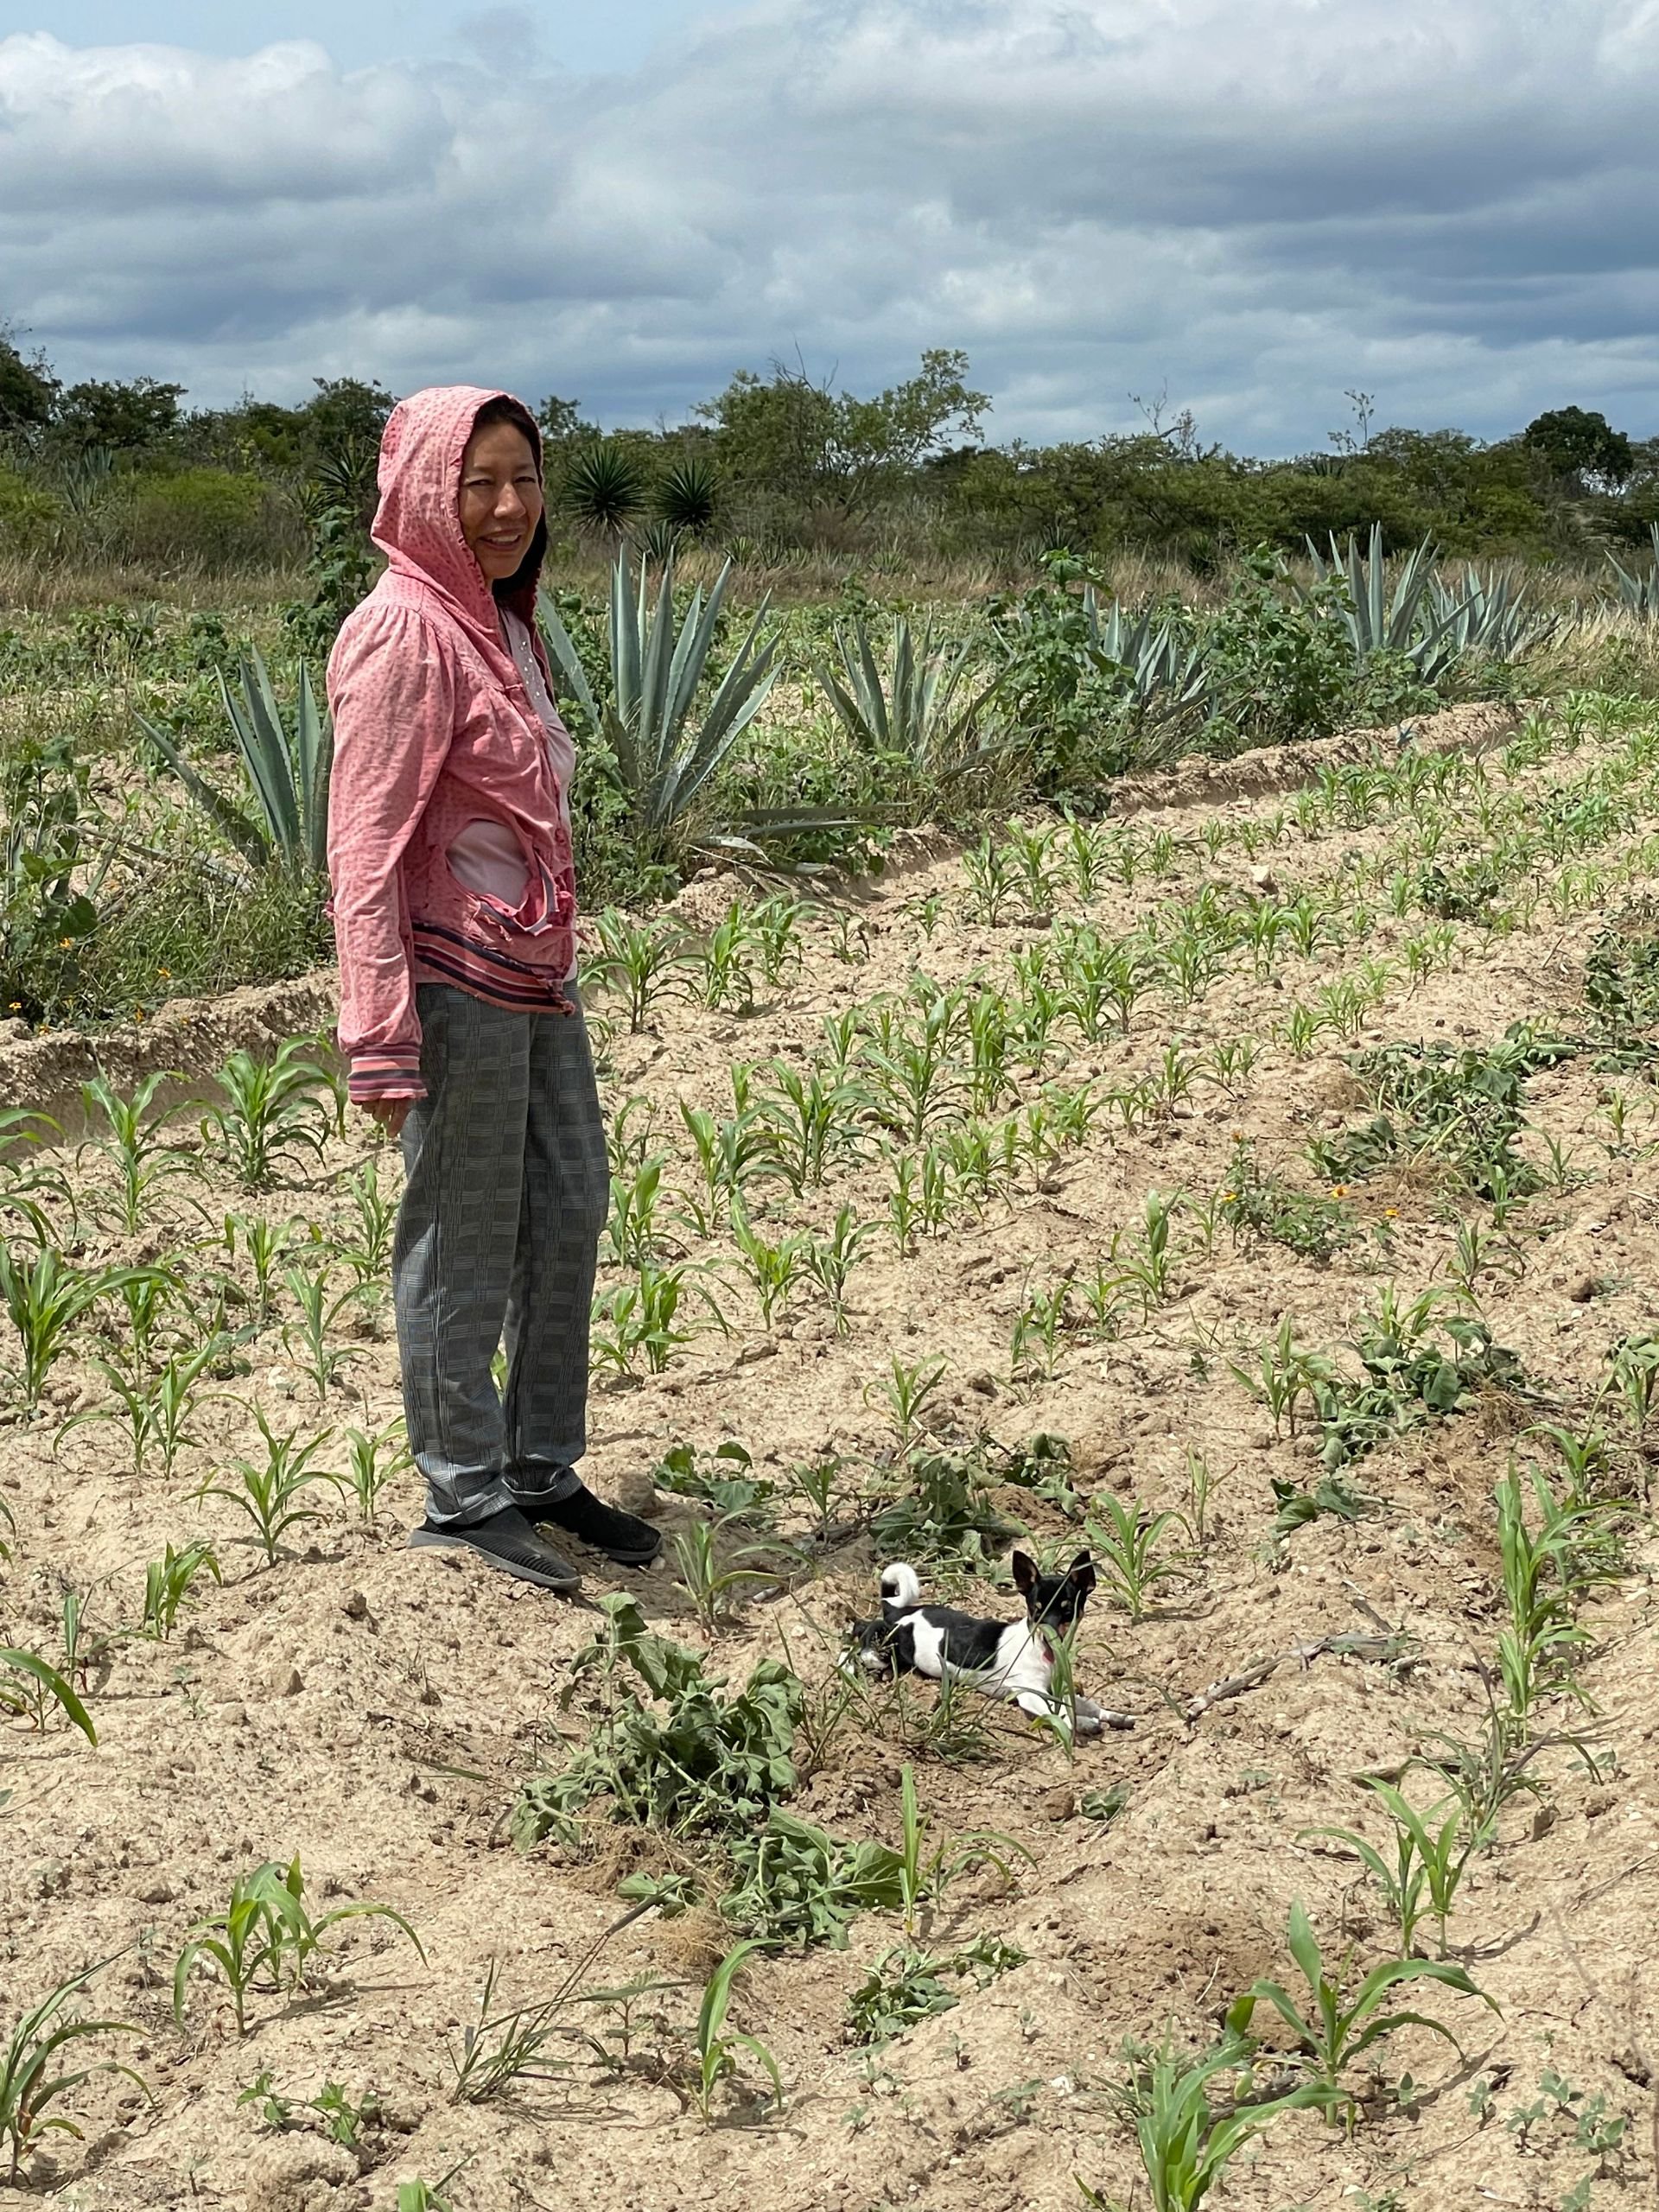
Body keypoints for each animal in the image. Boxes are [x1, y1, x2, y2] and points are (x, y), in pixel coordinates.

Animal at [849, 1548, 1141, 1734]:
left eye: (1067, 1610)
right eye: (1036, 1610)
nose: (1048, 1632)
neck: (1041, 1653)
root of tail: (899, 1613)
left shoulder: (1055, 1689)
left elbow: (1084, 1704)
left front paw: (1113, 1716)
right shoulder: (1031, 1695)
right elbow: (1059, 1713)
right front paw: (1083, 1724)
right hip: (887, 1644)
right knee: (862, 1632)